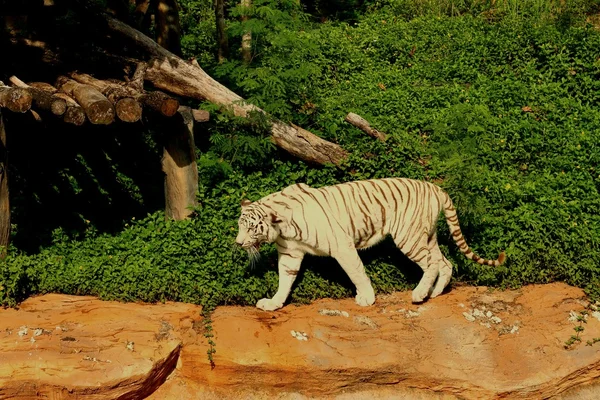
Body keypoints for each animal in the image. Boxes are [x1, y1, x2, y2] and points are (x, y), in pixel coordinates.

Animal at [236, 178, 506, 312]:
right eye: (240, 226)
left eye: (251, 228)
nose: (238, 243)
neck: (282, 227)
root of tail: (435, 187)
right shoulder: (290, 253)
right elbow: (285, 279)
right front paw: (274, 303)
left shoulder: (342, 245)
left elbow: (356, 272)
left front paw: (366, 298)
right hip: (427, 236)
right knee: (444, 263)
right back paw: (435, 293)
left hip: (408, 236)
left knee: (431, 263)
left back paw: (419, 294)